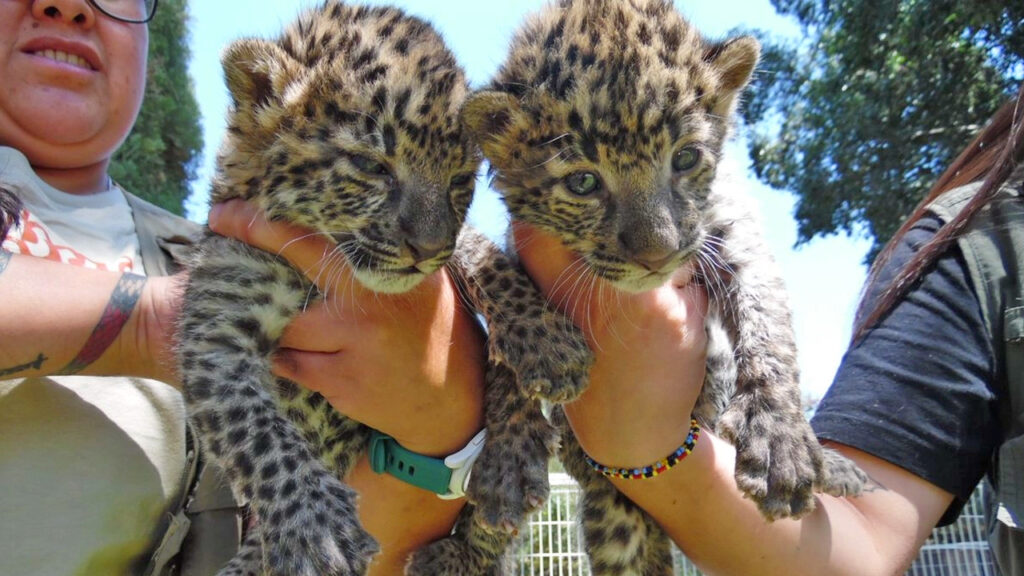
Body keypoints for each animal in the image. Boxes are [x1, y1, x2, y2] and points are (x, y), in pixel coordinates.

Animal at [177, 2, 592, 575]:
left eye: (458, 181)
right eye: (372, 166)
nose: (426, 247)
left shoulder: (457, 256)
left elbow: (485, 263)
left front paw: (544, 358)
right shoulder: (216, 329)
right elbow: (257, 431)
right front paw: (316, 531)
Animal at [462, 0, 868, 573]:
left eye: (686, 158)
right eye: (582, 182)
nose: (656, 255)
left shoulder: (733, 228)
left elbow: (769, 322)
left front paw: (780, 443)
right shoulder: (521, 251)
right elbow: (503, 345)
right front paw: (506, 459)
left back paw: (831, 465)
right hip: (615, 523)